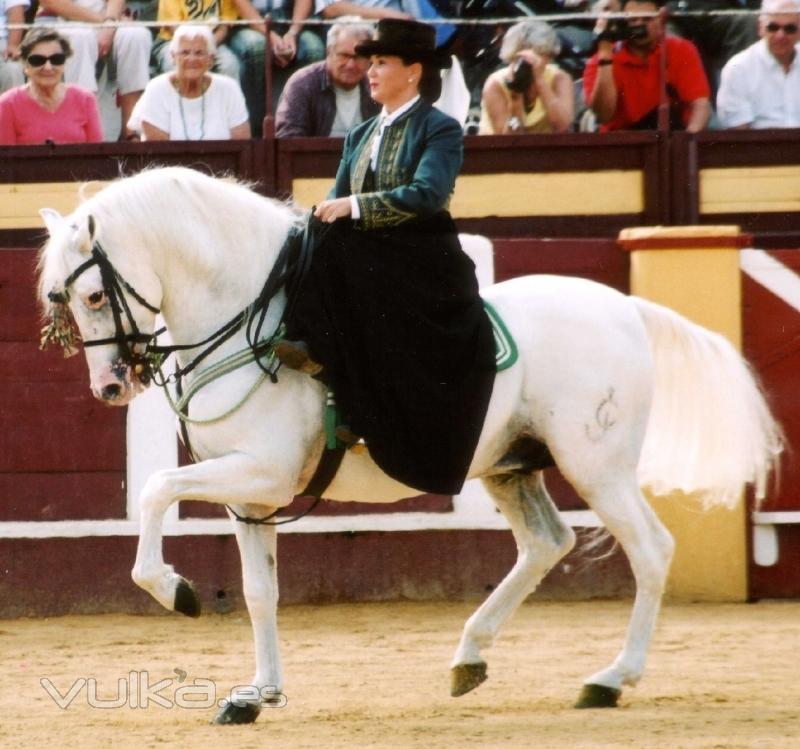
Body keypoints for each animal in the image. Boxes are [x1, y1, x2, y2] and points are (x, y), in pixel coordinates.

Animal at [37, 168, 780, 724]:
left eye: (96, 293)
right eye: (62, 300)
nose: (110, 385)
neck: (252, 316)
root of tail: (625, 306)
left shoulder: (261, 473)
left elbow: (155, 489)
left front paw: (176, 591)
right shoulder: (252, 495)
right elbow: (258, 590)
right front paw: (257, 694)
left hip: (599, 466)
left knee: (650, 549)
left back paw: (610, 678)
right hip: (512, 466)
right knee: (547, 543)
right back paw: (470, 658)